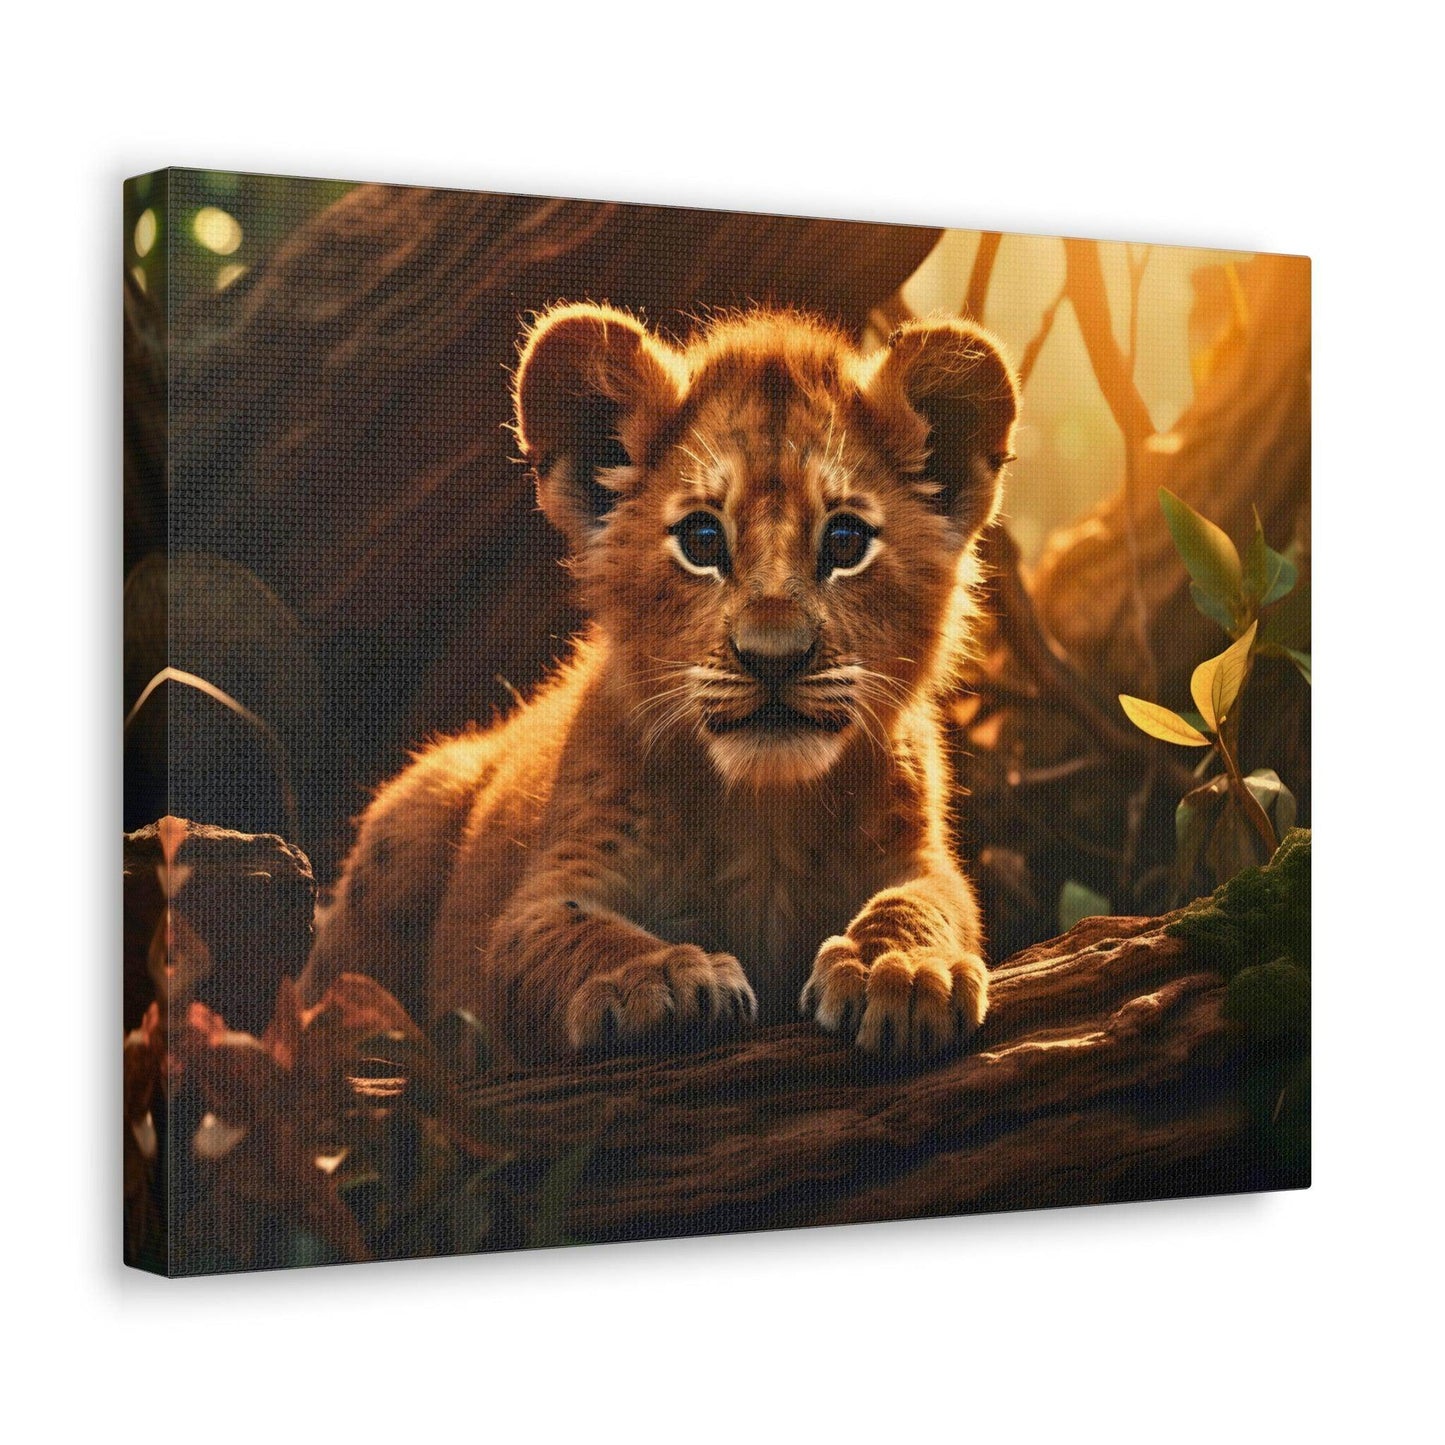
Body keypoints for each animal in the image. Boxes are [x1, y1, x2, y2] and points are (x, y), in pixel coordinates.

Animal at [299, 303, 1019, 1067]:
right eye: (701, 540)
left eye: (846, 541)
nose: (773, 657)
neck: (764, 811)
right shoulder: (543, 894)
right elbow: (576, 934)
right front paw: (659, 976)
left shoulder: (918, 856)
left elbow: (924, 903)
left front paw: (902, 968)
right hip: (413, 812)